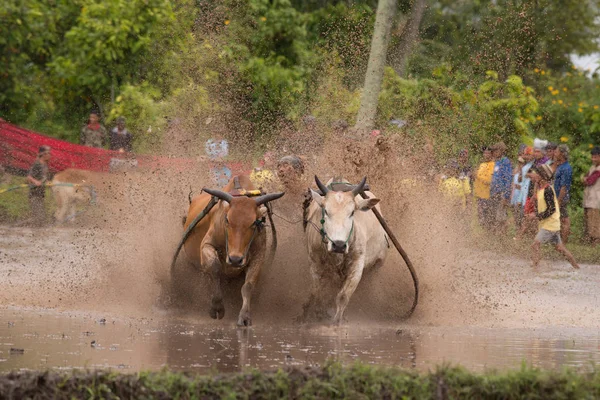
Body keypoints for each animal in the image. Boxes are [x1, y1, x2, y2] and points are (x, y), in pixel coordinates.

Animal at [183, 177, 284, 326]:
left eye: (254, 222)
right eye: (227, 219)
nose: (235, 259)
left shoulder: (259, 255)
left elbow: (248, 286)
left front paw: (244, 316)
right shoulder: (207, 244)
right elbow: (214, 268)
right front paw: (217, 307)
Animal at [302, 177, 386, 324]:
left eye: (352, 212)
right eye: (326, 211)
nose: (339, 245)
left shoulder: (357, 265)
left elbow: (343, 296)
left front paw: (336, 322)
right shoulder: (315, 263)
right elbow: (317, 292)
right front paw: (315, 315)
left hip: (378, 262)